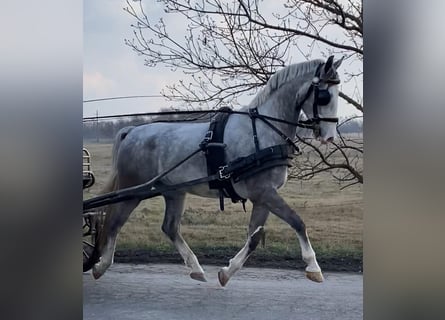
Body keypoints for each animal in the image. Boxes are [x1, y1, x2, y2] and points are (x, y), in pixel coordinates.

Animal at [93, 56, 344, 286]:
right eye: (324, 96)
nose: (330, 136)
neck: (262, 131)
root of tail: (132, 131)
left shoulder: (262, 196)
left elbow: (254, 237)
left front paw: (227, 271)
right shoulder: (264, 192)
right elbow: (297, 221)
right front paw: (313, 266)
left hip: (174, 191)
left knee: (170, 228)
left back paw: (195, 268)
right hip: (133, 190)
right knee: (114, 222)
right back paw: (102, 265)